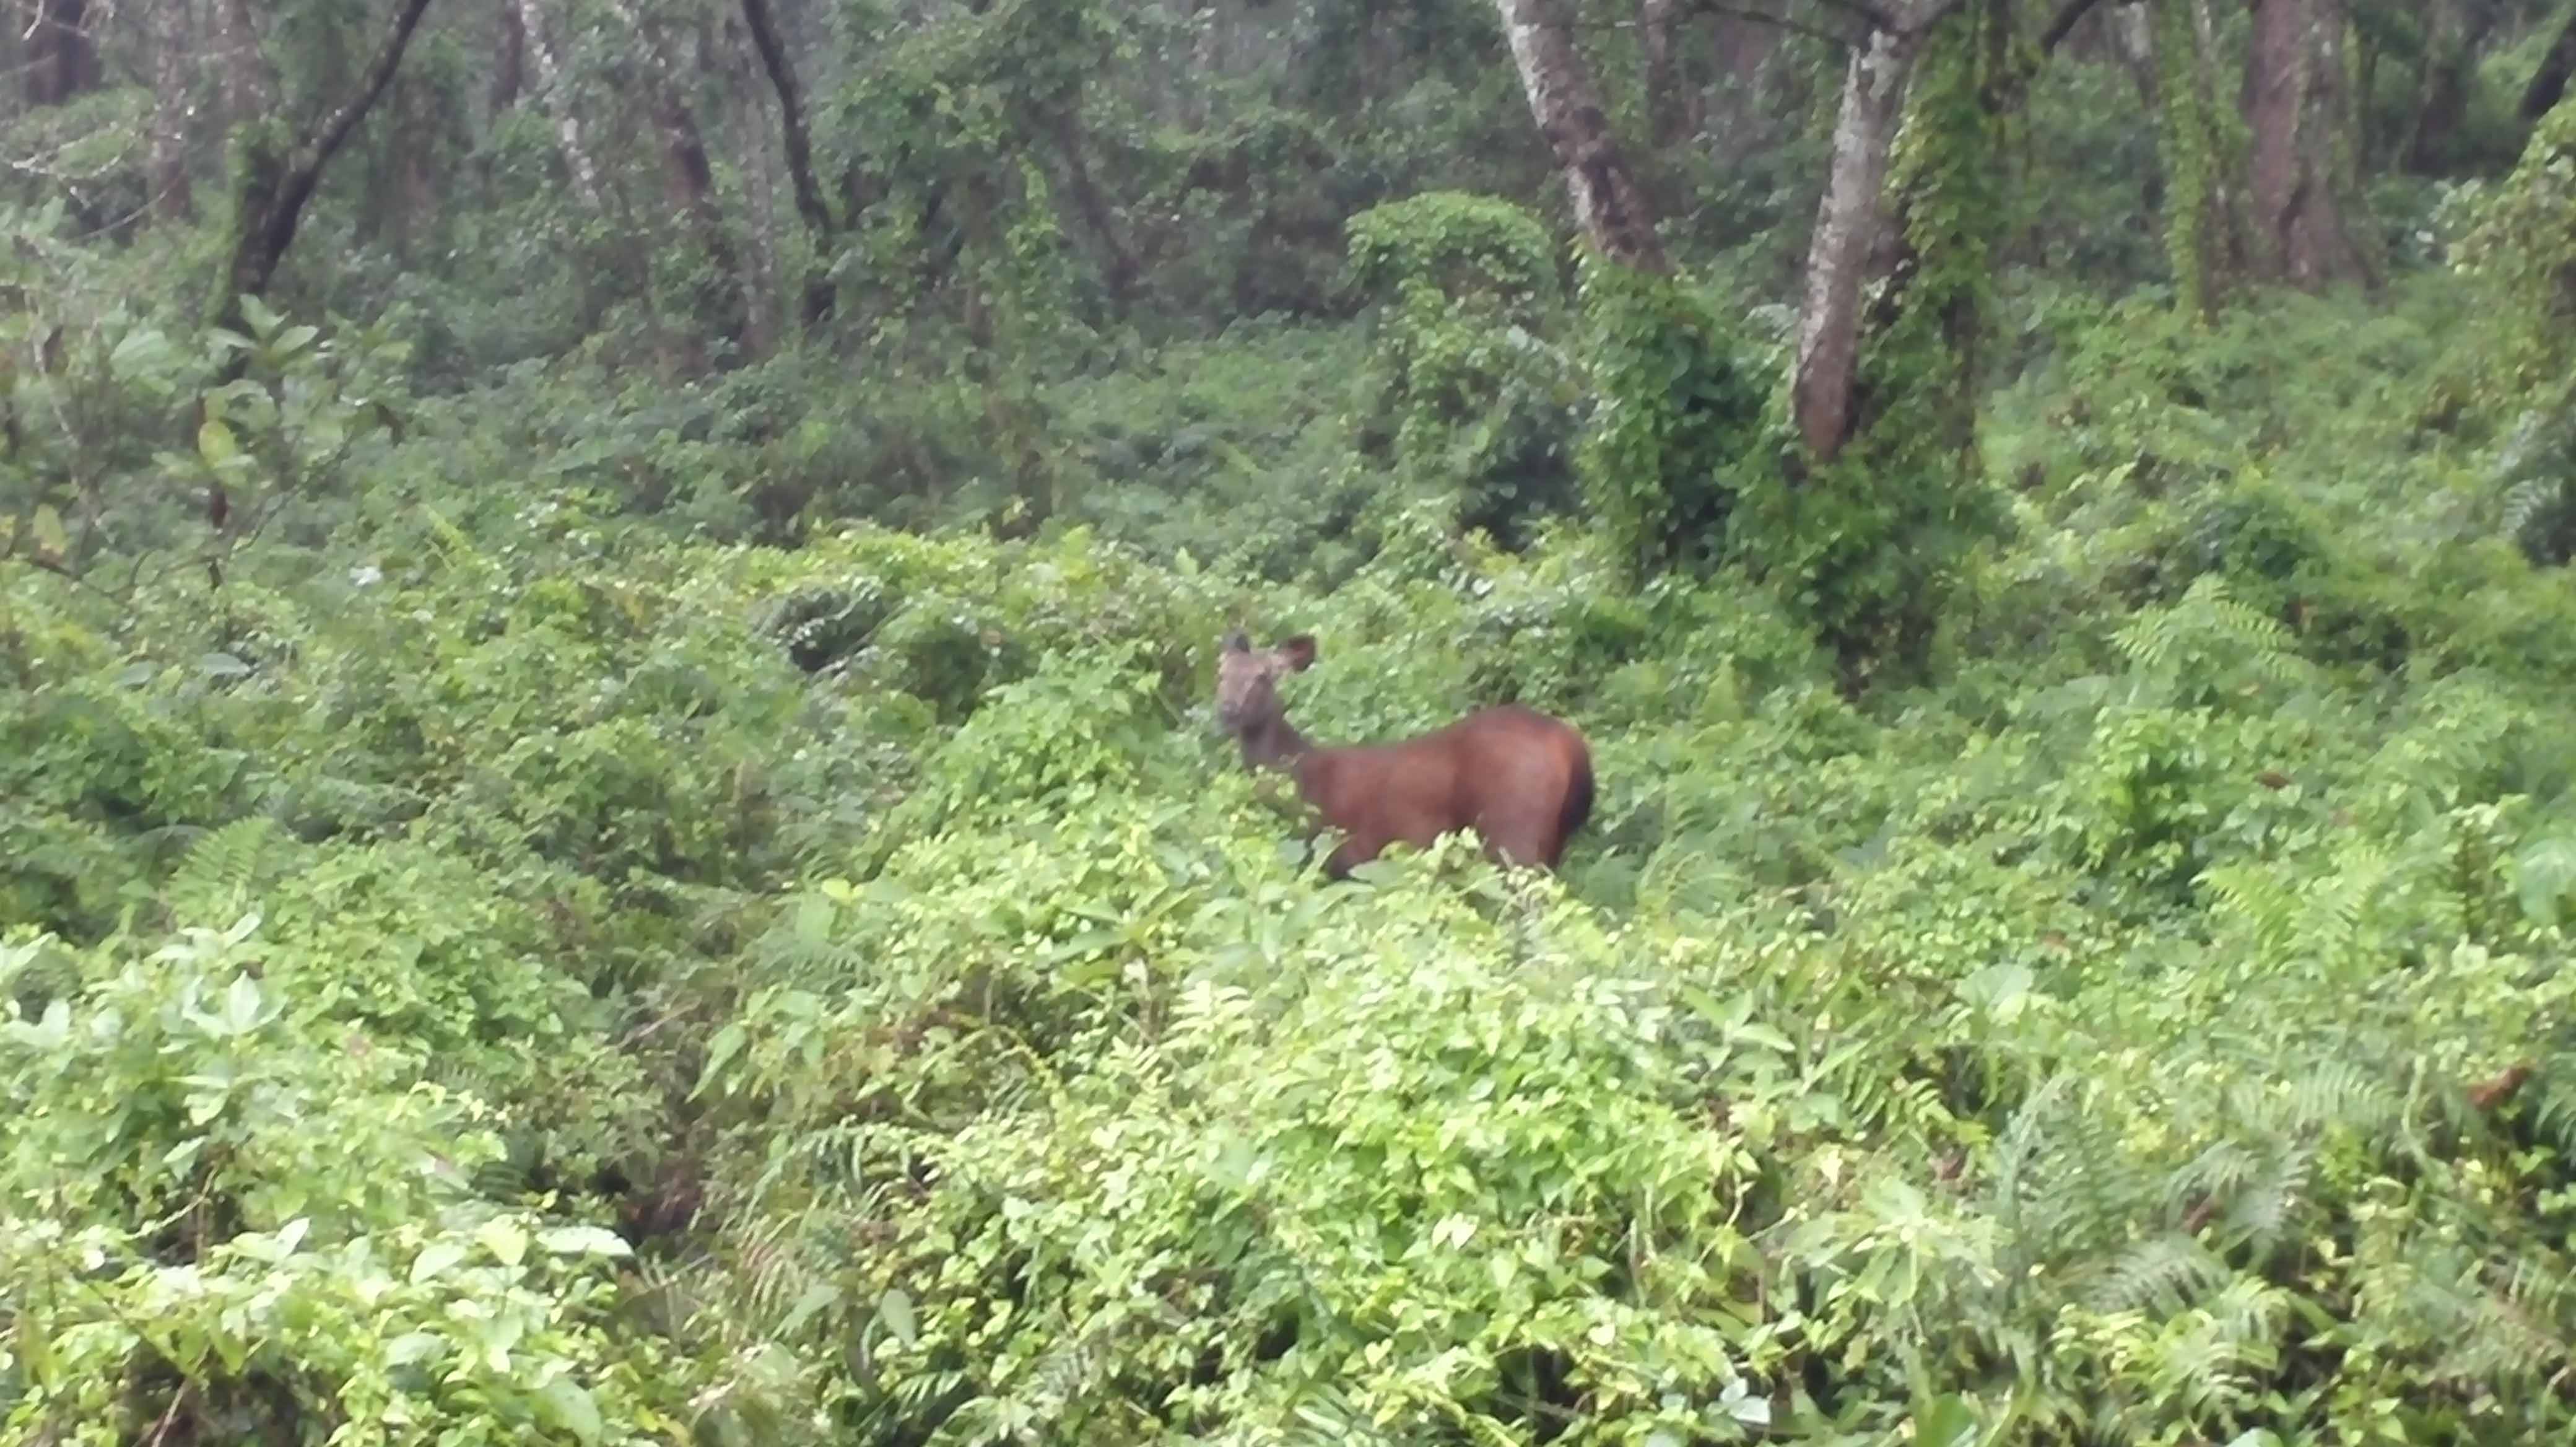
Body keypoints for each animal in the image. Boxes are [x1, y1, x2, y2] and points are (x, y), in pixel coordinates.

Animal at [1205, 633, 1586, 880]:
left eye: (1262, 677)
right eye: (1221, 673)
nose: (1227, 711)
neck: (1299, 779)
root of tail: (1571, 742)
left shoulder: (1347, 856)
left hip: (1511, 829)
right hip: (1553, 842)